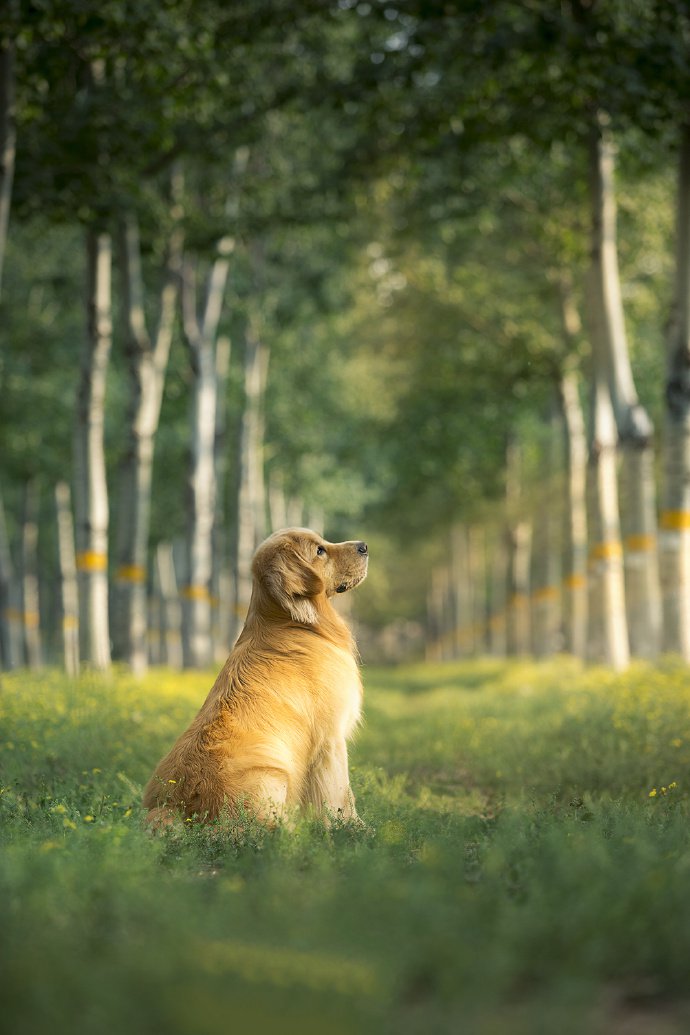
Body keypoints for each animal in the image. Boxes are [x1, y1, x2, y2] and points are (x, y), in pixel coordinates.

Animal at [142, 525, 370, 823]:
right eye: (319, 550)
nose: (364, 546)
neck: (291, 622)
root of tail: (175, 808)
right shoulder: (331, 740)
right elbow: (343, 795)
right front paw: (354, 827)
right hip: (272, 775)